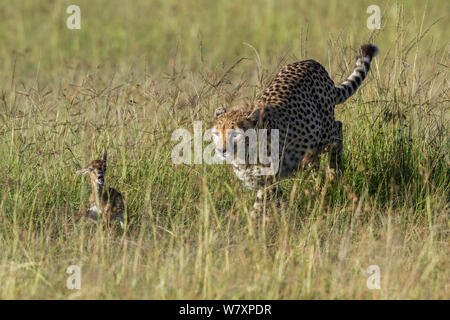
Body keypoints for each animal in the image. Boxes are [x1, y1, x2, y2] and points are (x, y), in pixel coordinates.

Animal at [213, 43, 378, 214]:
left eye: (235, 134)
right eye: (216, 134)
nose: (221, 150)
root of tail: (311, 62)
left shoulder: (268, 179)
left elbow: (258, 208)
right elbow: (278, 198)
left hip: (323, 133)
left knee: (337, 129)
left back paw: (334, 173)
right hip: (311, 146)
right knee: (315, 161)